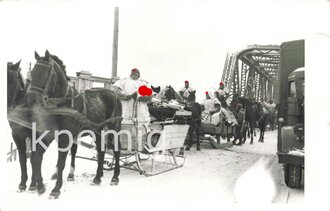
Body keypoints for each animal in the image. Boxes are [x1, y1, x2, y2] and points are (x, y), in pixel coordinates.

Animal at [24, 50, 122, 198]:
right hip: (97, 131)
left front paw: (56, 189)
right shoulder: (49, 135)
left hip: (113, 128)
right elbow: (37, 157)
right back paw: (97, 177)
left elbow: (61, 162)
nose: (31, 100)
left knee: (116, 149)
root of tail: (114, 94)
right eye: (33, 72)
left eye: (45, 73)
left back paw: (115, 177)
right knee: (101, 150)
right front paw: (39, 186)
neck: (63, 103)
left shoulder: (65, 137)